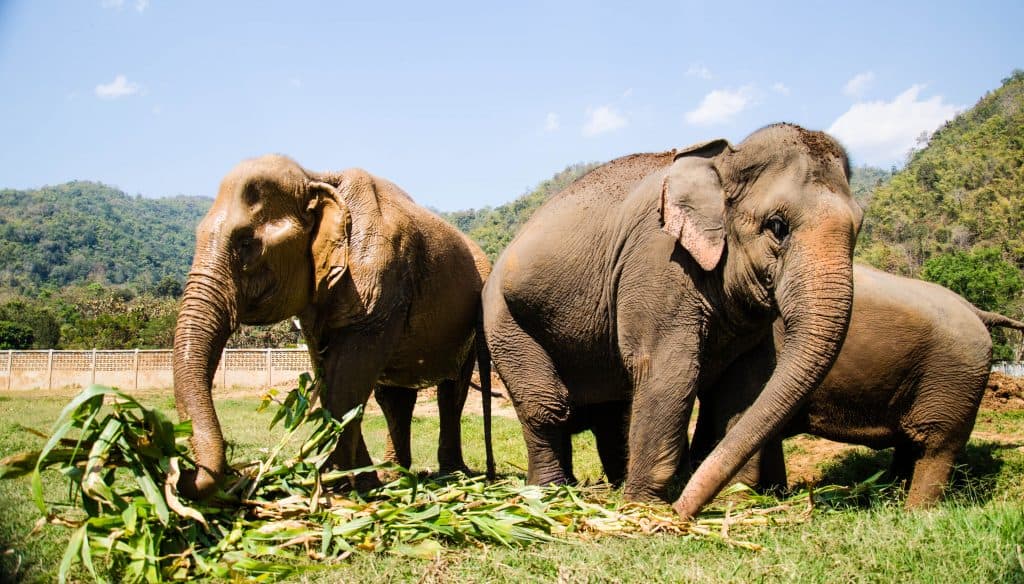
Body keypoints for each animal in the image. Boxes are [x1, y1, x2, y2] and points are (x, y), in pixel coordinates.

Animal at [173, 154, 493, 499]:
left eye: (247, 243)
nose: (184, 472)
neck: (316, 177)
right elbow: (329, 379)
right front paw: (352, 484)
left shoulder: (380, 281)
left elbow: (346, 382)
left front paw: (341, 486)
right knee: (395, 399)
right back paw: (397, 476)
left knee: (451, 391)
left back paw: (453, 476)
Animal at [482, 123, 863, 519]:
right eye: (777, 226)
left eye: (859, 227)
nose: (683, 510)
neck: (724, 159)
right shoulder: (658, 262)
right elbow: (667, 370)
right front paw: (645, 508)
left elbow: (745, 384)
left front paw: (734, 500)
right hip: (506, 323)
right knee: (548, 408)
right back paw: (550, 494)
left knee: (610, 413)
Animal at [692, 263, 1024, 507]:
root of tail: (976, 310)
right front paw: (772, 496)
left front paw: (740, 501)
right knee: (911, 444)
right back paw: (891, 497)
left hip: (953, 377)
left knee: (936, 445)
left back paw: (915, 513)